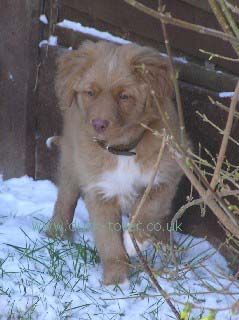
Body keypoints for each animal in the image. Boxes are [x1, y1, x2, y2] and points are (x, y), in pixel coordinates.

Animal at [48, 40, 183, 284]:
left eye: (124, 96)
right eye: (90, 92)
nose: (99, 124)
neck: (123, 151)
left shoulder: (165, 176)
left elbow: (148, 209)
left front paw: (134, 241)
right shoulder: (100, 191)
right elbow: (108, 241)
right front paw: (115, 281)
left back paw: (168, 248)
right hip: (71, 162)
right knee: (65, 200)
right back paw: (55, 233)